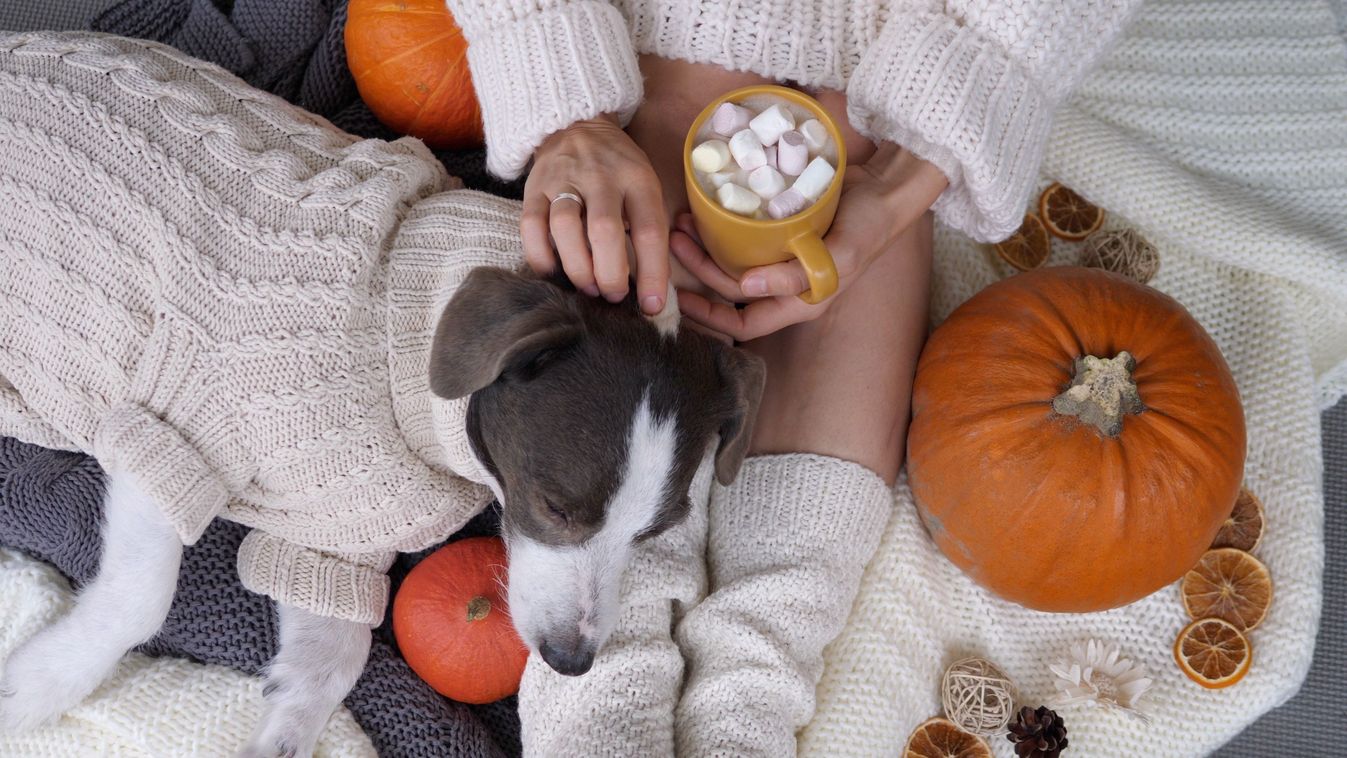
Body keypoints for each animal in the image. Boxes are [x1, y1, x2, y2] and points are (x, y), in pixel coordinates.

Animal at [0, 34, 765, 758]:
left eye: (653, 533)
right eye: (553, 507)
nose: (570, 661)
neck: (394, 327)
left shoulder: (340, 535)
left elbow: (333, 658)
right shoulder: (165, 432)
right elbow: (141, 600)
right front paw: (36, 687)